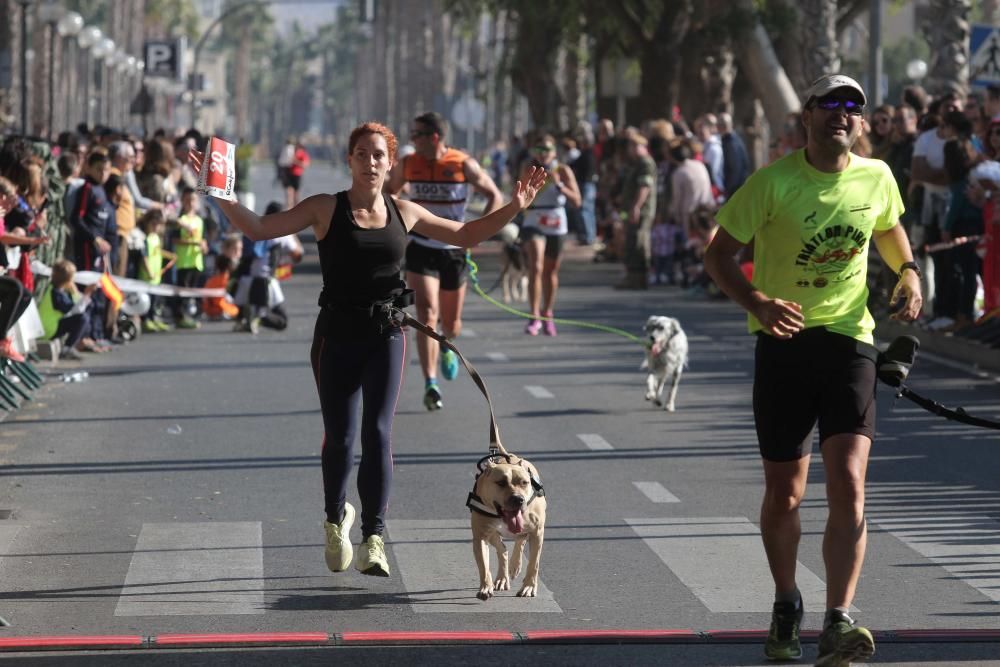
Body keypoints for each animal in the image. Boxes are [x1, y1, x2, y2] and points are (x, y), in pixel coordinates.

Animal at [466, 446, 548, 604]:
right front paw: (486, 587)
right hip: (492, 534)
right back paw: (502, 578)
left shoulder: (537, 532)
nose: (518, 499)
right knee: (502, 549)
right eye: (501, 483)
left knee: (520, 540)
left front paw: (528, 587)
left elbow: (533, 564)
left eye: (524, 482)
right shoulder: (480, 537)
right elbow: (484, 565)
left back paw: (515, 566)